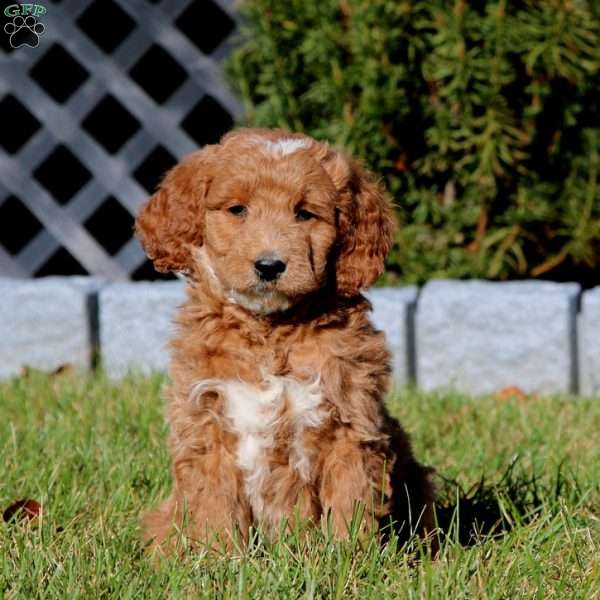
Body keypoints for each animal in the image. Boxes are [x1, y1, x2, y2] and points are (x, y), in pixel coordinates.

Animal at [135, 126, 436, 552]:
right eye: (237, 210)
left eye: (305, 213)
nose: (269, 265)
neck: (269, 332)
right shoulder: (205, 422)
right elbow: (215, 504)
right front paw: (216, 558)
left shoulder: (350, 423)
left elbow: (349, 502)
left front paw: (347, 558)